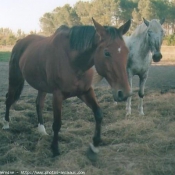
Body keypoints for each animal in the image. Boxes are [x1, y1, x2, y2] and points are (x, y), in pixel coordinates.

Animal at [2, 18, 131, 157]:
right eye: (107, 53)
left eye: (126, 51)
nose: (124, 93)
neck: (73, 61)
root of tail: (20, 42)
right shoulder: (58, 95)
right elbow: (57, 124)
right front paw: (55, 149)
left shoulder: (86, 91)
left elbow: (98, 114)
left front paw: (94, 146)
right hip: (15, 79)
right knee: (9, 99)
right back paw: (6, 124)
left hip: (42, 86)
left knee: (38, 103)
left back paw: (42, 130)